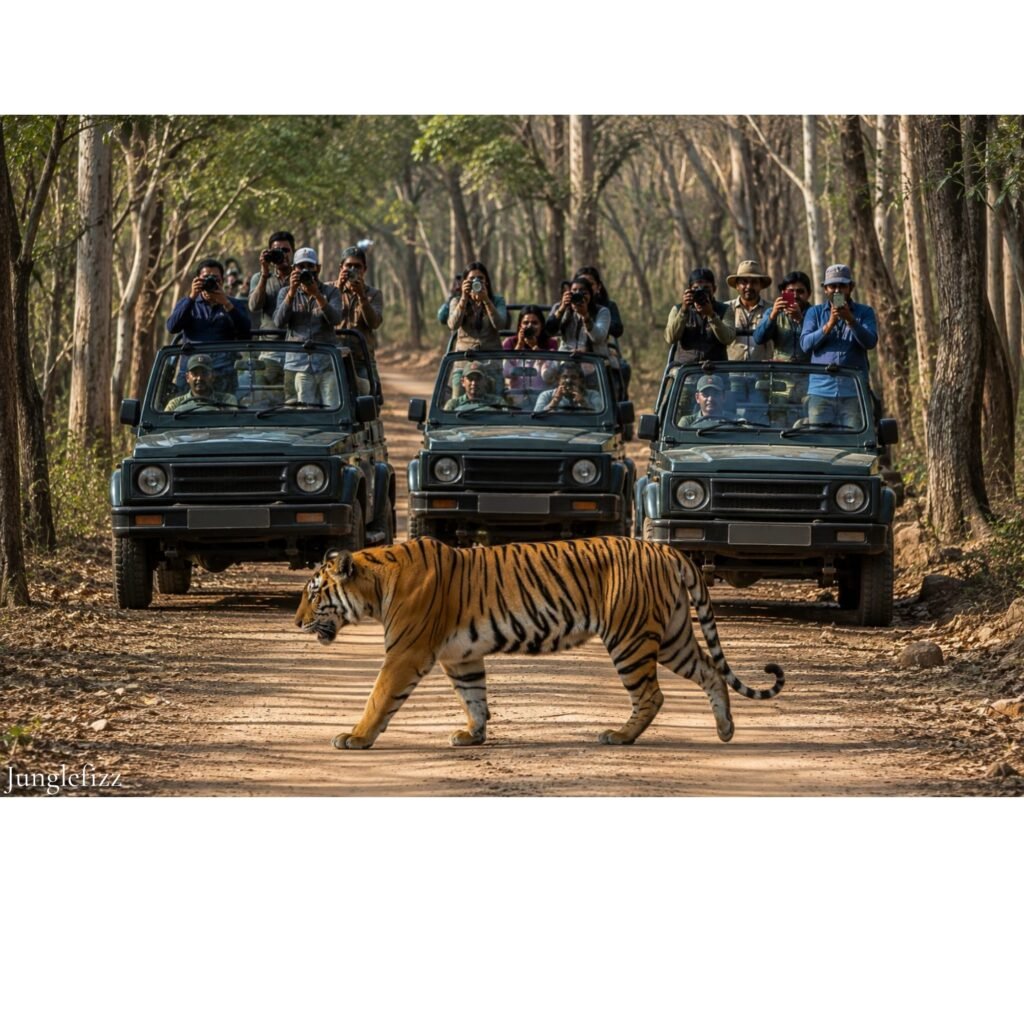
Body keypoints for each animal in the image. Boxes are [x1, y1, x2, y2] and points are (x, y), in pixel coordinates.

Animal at [294, 536, 784, 750]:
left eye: (313, 593)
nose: (296, 622)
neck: (375, 586)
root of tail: (666, 549)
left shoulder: (405, 653)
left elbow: (379, 698)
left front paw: (356, 737)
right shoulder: (461, 656)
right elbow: (475, 697)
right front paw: (473, 735)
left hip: (630, 637)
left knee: (652, 695)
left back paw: (619, 736)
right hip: (672, 636)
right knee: (710, 671)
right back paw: (725, 730)